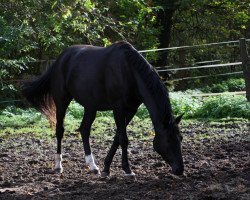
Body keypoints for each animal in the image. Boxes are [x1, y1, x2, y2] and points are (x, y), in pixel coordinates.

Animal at [22, 41, 184, 177]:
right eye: (168, 140)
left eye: (180, 138)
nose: (180, 170)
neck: (129, 71)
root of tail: (60, 59)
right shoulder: (118, 108)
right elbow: (123, 139)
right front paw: (127, 169)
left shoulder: (131, 109)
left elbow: (117, 137)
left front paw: (106, 168)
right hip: (62, 101)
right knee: (60, 130)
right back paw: (58, 165)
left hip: (90, 106)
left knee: (84, 130)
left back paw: (93, 166)